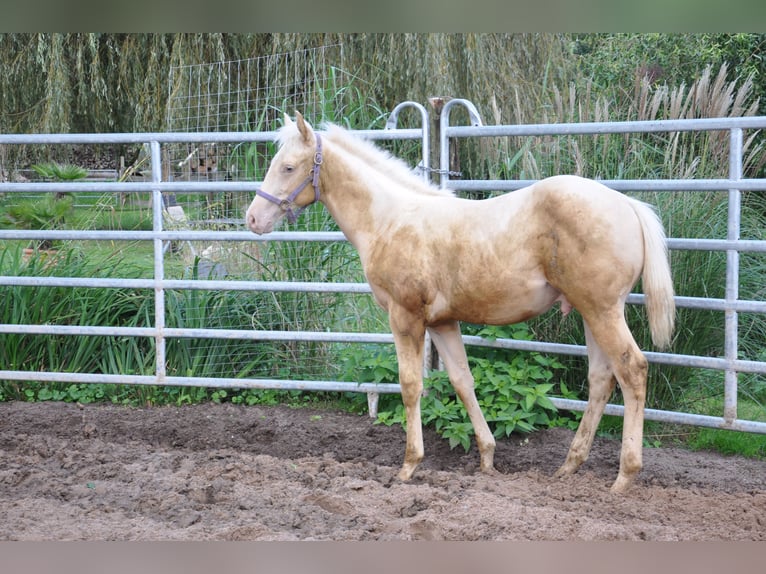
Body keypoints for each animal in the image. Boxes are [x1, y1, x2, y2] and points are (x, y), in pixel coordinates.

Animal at [245, 112, 676, 493]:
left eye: (287, 167)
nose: (252, 219)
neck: (389, 220)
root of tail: (628, 206)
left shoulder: (405, 317)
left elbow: (410, 385)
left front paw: (409, 466)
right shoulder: (442, 323)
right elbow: (462, 381)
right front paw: (487, 458)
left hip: (602, 311)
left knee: (632, 370)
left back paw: (624, 477)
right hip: (589, 312)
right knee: (602, 378)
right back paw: (568, 467)